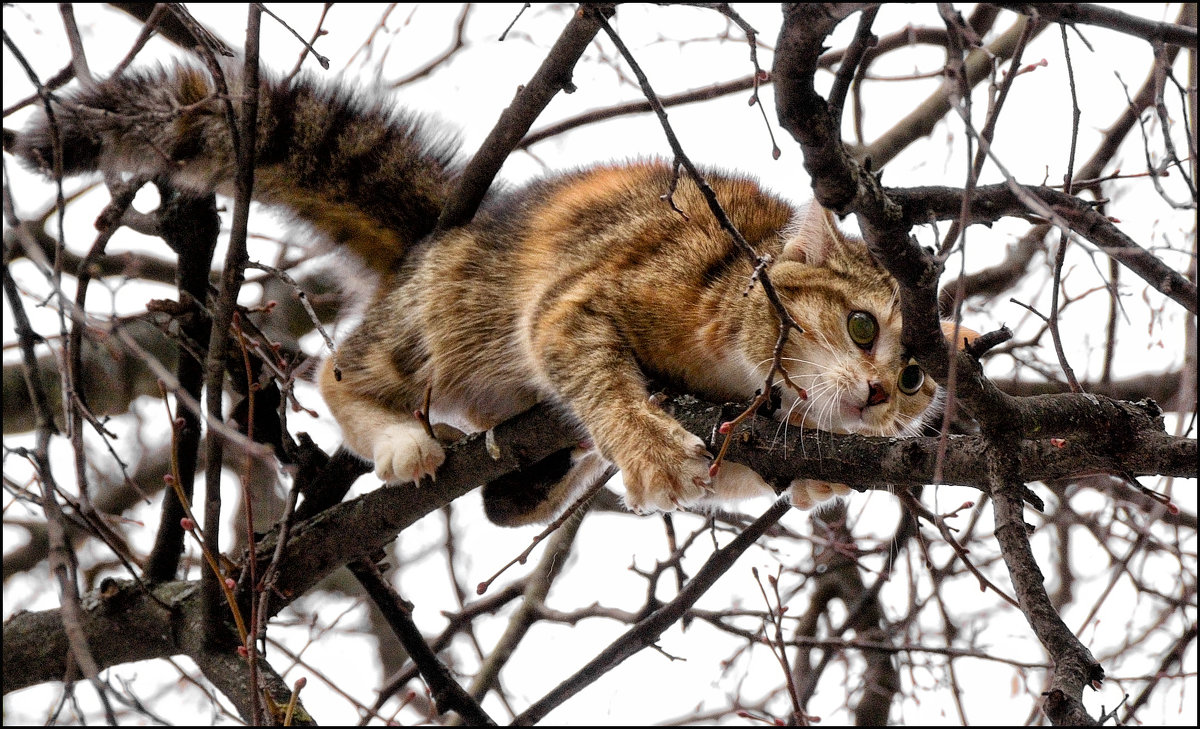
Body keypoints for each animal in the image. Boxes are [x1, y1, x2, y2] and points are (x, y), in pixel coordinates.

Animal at [9, 64, 969, 522]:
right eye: (861, 326)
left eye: (916, 377)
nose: (880, 394)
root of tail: (447, 228)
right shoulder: (593, 292)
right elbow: (584, 355)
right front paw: (646, 442)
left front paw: (811, 481)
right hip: (441, 317)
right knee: (342, 368)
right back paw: (401, 436)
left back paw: (534, 477)